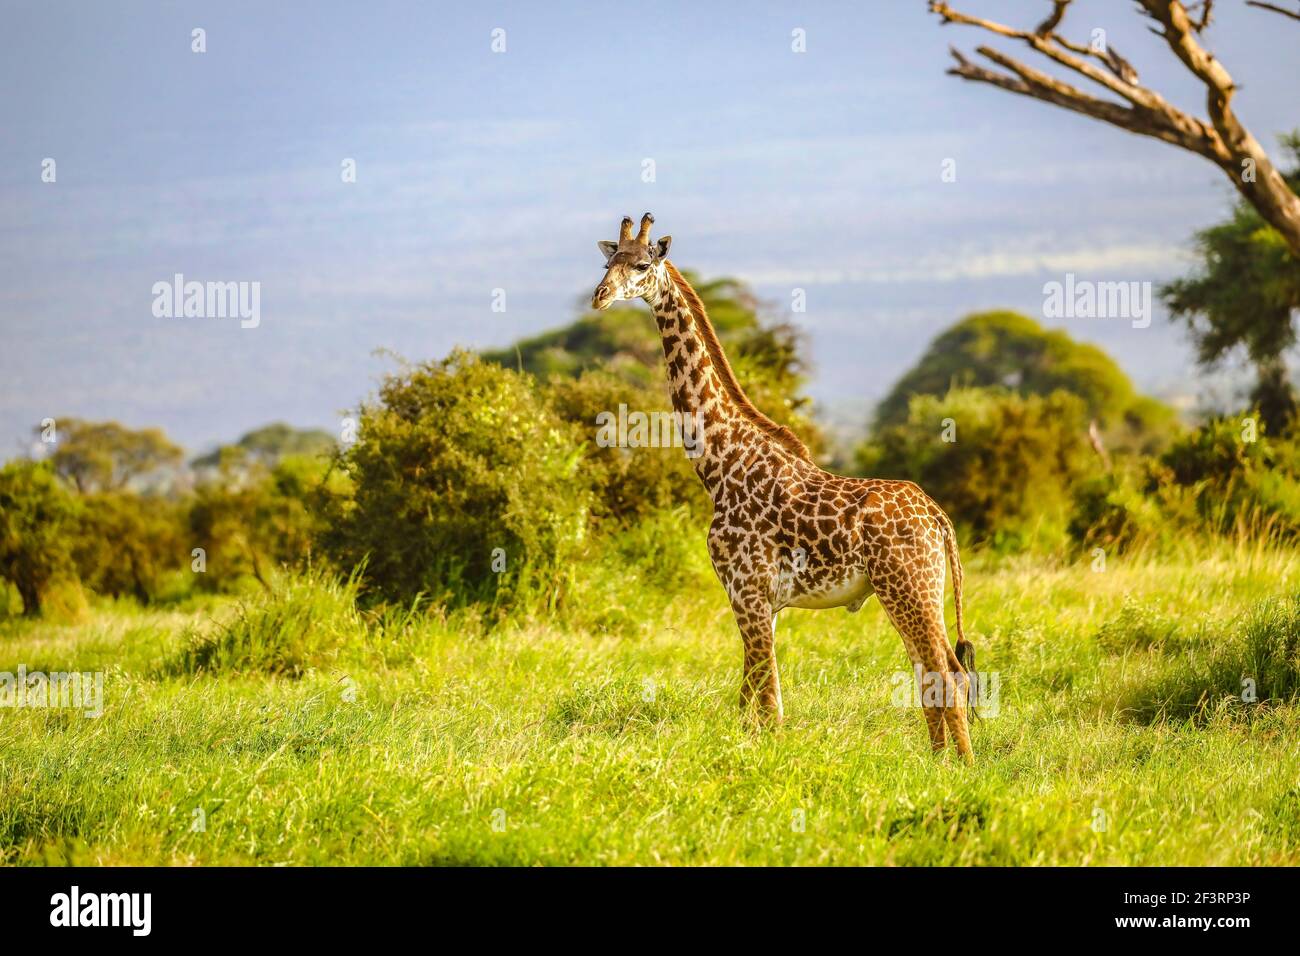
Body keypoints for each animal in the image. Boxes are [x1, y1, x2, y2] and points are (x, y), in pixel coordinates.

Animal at [590, 214, 976, 761]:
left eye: (643, 265)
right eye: (607, 263)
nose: (600, 296)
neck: (720, 462)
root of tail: (940, 520)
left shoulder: (747, 591)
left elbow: (767, 703)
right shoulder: (761, 603)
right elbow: (750, 698)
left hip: (908, 587)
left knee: (946, 671)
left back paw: (959, 766)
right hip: (917, 590)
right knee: (935, 670)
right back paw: (941, 761)